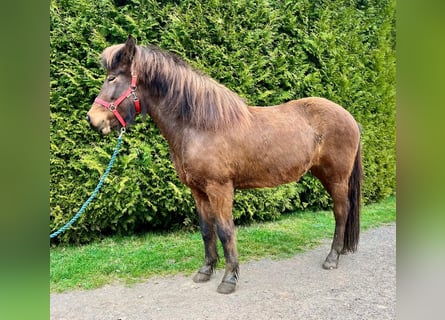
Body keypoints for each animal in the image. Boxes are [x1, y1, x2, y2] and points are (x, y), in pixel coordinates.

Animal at [86, 35, 360, 296]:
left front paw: (229, 279)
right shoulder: (198, 190)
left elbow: (226, 231)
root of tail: (350, 116)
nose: (93, 119)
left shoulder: (220, 188)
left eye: (112, 78)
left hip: (336, 177)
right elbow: (207, 230)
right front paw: (206, 270)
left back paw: (332, 258)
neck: (200, 125)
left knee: (341, 211)